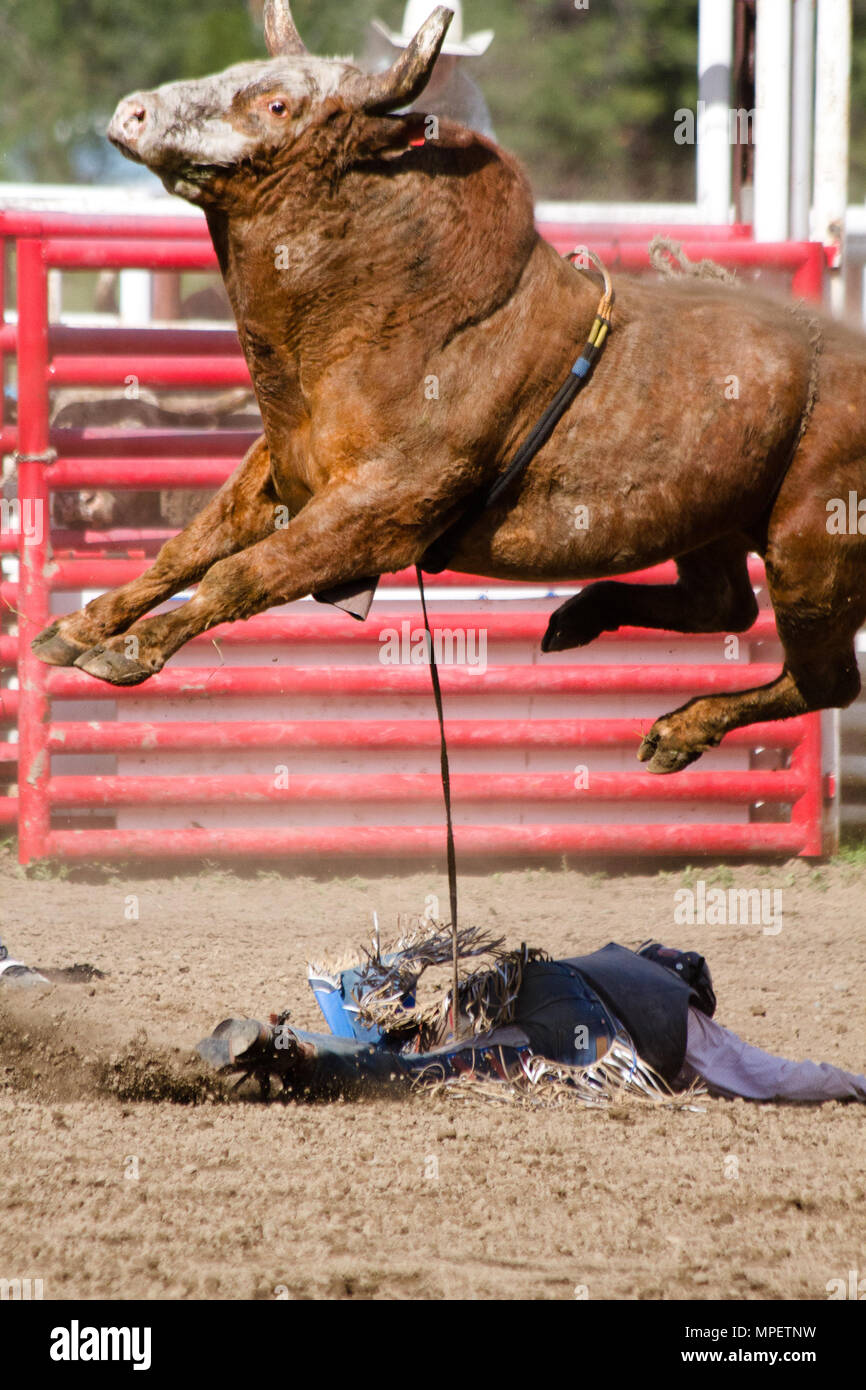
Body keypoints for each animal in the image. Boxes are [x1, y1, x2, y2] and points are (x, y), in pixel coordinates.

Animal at [31, 2, 866, 774]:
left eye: (277, 106)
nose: (133, 112)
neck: (398, 316)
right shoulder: (281, 471)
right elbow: (189, 549)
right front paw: (77, 628)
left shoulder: (379, 509)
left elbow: (240, 572)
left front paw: (133, 648)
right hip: (715, 524)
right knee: (725, 603)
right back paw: (584, 619)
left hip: (813, 555)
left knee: (825, 680)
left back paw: (675, 727)